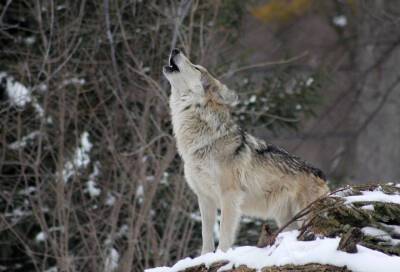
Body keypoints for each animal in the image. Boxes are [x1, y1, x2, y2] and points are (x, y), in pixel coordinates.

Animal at [162, 49, 328, 255]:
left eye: (196, 67)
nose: (175, 50)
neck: (202, 141)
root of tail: (320, 174)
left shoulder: (229, 195)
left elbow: (224, 234)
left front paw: (221, 255)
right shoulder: (205, 198)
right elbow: (206, 236)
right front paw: (205, 257)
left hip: (304, 215)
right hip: (286, 220)